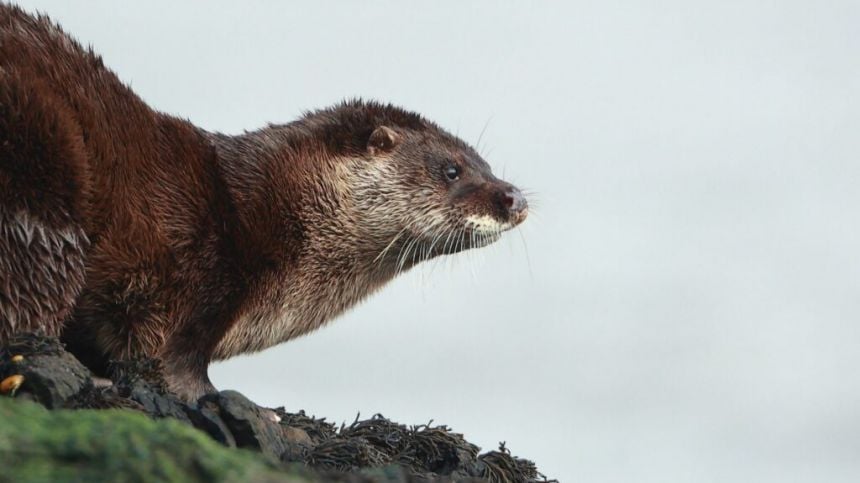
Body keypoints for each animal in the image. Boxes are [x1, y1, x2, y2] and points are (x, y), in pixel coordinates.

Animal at [0, 4, 528, 400]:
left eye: (486, 163)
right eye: (452, 169)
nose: (514, 196)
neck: (263, 217)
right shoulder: (182, 279)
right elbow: (165, 358)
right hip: (45, 177)